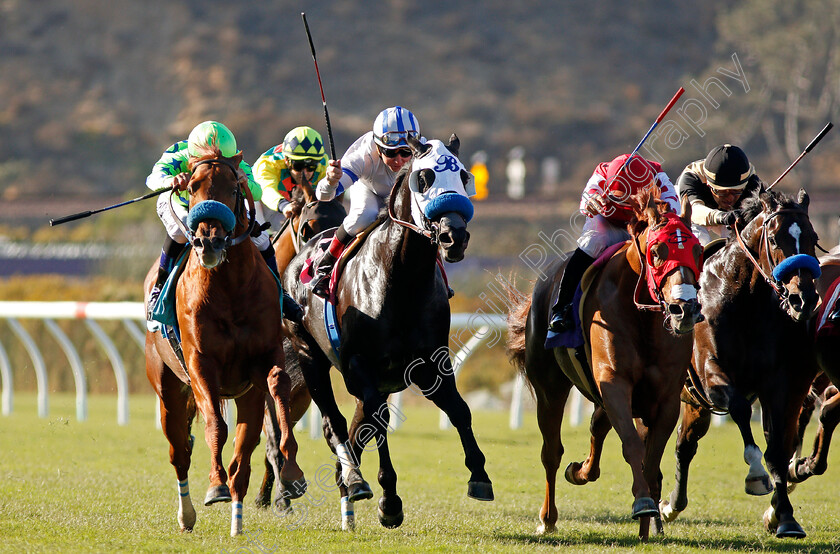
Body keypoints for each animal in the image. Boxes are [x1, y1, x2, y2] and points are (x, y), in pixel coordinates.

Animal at [146, 151, 306, 536]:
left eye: (234, 188)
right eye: (191, 186)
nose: (209, 242)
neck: (230, 286)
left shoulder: (266, 358)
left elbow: (278, 386)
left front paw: (292, 468)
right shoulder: (201, 365)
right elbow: (216, 426)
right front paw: (214, 484)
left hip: (247, 396)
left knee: (242, 461)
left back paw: (237, 522)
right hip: (168, 390)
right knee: (180, 452)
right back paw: (188, 514)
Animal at [282, 134, 492, 528]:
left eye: (465, 176)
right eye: (424, 177)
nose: (454, 236)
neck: (401, 281)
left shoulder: (431, 365)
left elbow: (460, 411)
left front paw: (480, 476)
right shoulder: (360, 365)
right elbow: (378, 426)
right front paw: (389, 501)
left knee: (357, 426)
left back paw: (345, 478)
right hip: (309, 356)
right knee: (335, 423)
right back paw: (354, 478)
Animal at [508, 190, 704, 540]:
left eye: (697, 250)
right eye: (657, 251)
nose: (685, 309)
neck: (643, 319)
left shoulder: (664, 399)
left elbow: (651, 458)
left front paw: (647, 525)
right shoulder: (614, 383)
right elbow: (632, 446)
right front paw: (643, 503)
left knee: (597, 427)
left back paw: (582, 472)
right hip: (549, 389)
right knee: (551, 451)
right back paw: (548, 517)